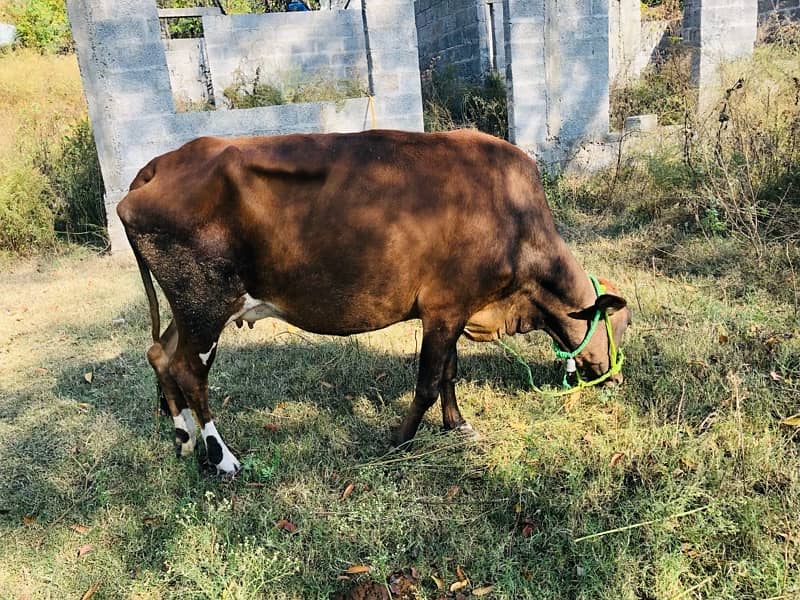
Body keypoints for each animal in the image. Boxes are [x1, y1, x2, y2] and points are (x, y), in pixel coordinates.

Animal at [119, 130, 632, 474]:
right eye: (620, 324)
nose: (616, 377)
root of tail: (162, 163)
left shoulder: (452, 307)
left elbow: (449, 373)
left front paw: (457, 424)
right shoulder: (444, 310)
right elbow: (427, 383)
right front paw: (399, 440)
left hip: (188, 308)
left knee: (160, 353)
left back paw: (183, 437)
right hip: (205, 303)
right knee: (188, 370)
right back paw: (222, 457)